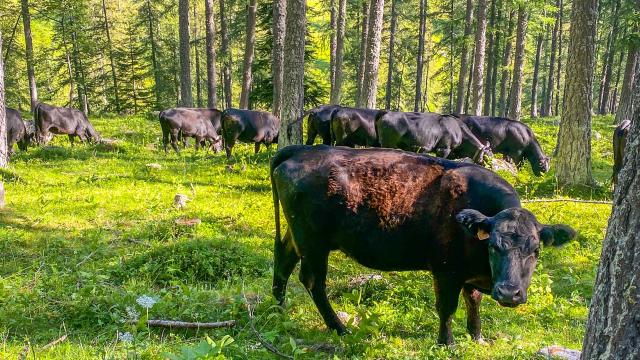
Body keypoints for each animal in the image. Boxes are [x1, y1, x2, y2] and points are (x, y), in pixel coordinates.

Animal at [270, 145, 576, 344]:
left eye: (535, 251)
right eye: (493, 246)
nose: (509, 293)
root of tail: (300, 150)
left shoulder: (469, 275)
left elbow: (474, 302)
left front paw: (477, 337)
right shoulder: (446, 272)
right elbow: (447, 307)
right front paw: (447, 342)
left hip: (297, 238)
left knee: (283, 262)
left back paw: (279, 311)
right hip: (313, 244)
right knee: (312, 281)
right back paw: (340, 329)